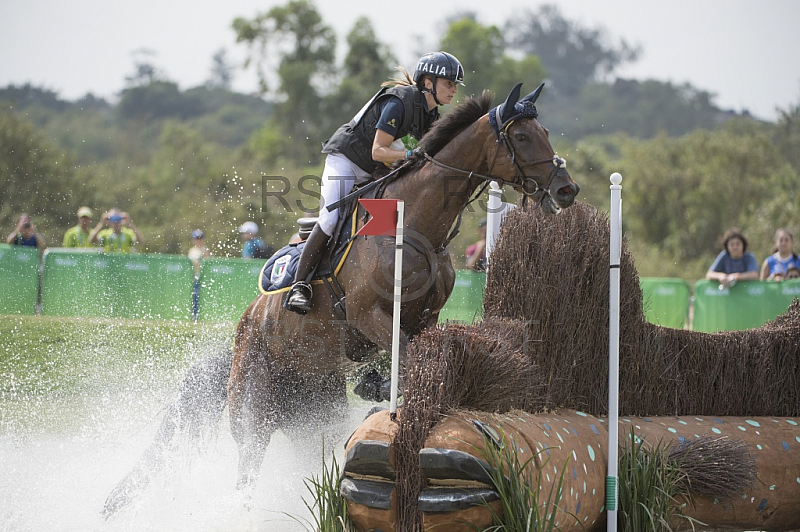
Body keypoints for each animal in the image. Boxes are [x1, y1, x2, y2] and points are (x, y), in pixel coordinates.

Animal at [228, 83, 580, 486]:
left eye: (545, 133)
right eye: (521, 137)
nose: (567, 190)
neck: (416, 224)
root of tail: (249, 317)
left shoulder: (425, 319)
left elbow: (417, 363)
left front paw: (377, 387)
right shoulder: (369, 317)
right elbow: (408, 362)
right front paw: (379, 388)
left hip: (314, 399)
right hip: (254, 401)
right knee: (249, 456)